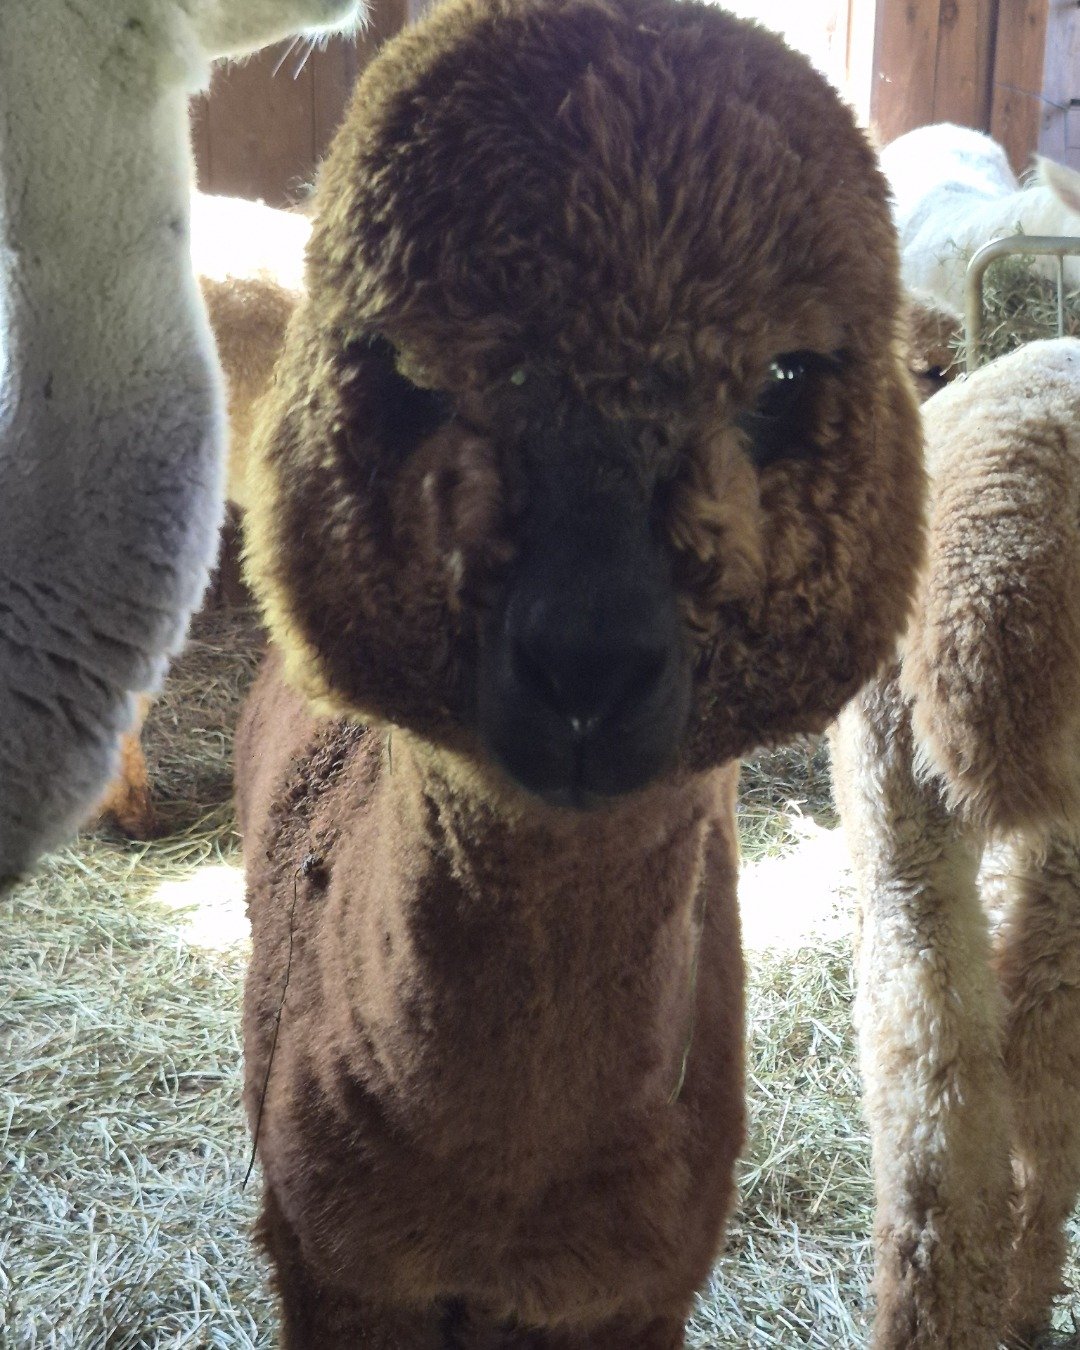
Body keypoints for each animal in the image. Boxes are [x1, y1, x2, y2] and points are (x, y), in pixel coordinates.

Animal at [233, 0, 925, 1343]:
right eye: (412, 375)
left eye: (781, 378)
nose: (586, 670)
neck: (508, 1188)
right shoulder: (336, 1269)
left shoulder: (632, 1292)